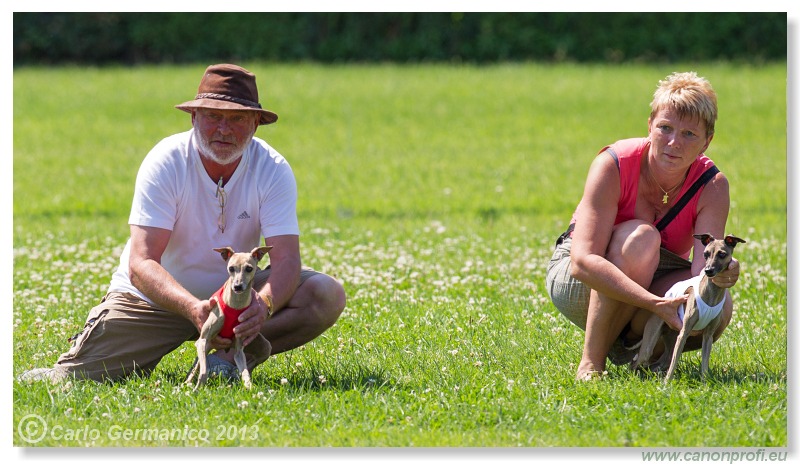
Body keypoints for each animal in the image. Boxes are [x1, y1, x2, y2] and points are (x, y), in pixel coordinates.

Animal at [186, 245, 274, 388]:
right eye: (231, 268)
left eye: (249, 268)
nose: (237, 286)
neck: (235, 305)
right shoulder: (203, 340)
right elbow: (203, 371)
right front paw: (197, 388)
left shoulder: (239, 350)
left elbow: (245, 373)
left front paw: (249, 388)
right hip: (206, 345)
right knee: (198, 365)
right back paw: (188, 381)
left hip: (264, 347)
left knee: (249, 366)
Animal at [636, 232, 748, 382]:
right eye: (706, 254)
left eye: (722, 254)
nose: (708, 270)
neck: (711, 295)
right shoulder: (684, 333)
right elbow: (674, 363)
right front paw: (667, 383)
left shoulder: (708, 336)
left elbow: (705, 364)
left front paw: (704, 383)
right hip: (652, 342)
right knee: (639, 362)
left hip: (671, 340)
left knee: (660, 363)